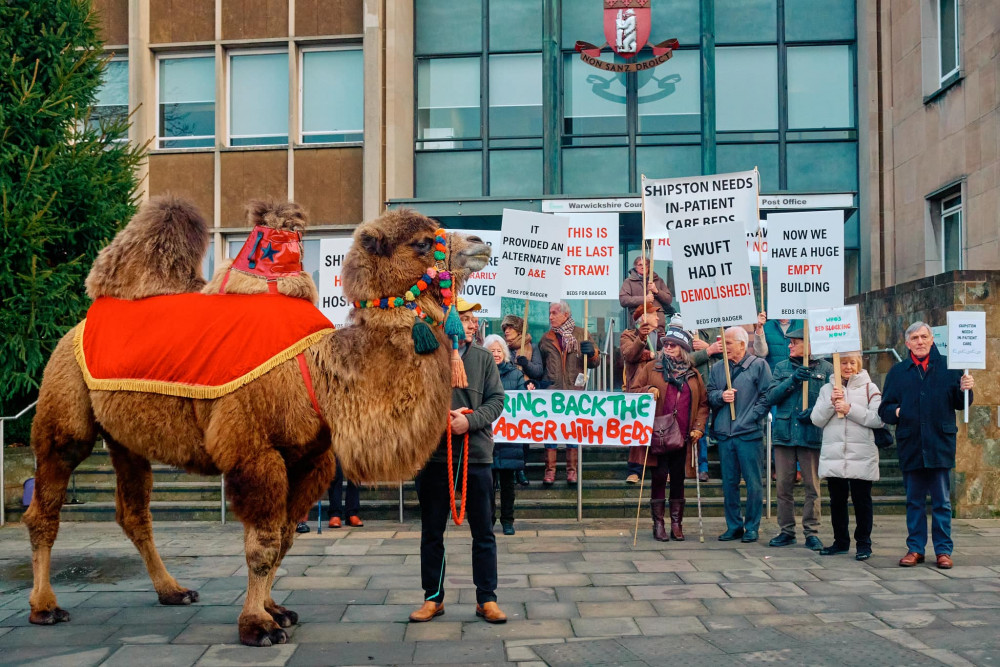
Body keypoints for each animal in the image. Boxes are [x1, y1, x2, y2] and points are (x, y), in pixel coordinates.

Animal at [25, 200, 490, 648]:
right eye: (423, 242)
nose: (480, 241)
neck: (317, 373)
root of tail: (78, 326)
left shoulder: (310, 459)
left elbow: (285, 537)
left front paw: (275, 610)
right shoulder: (255, 451)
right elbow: (263, 543)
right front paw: (257, 627)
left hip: (126, 440)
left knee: (134, 513)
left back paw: (173, 591)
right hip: (64, 410)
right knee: (45, 505)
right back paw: (45, 607)